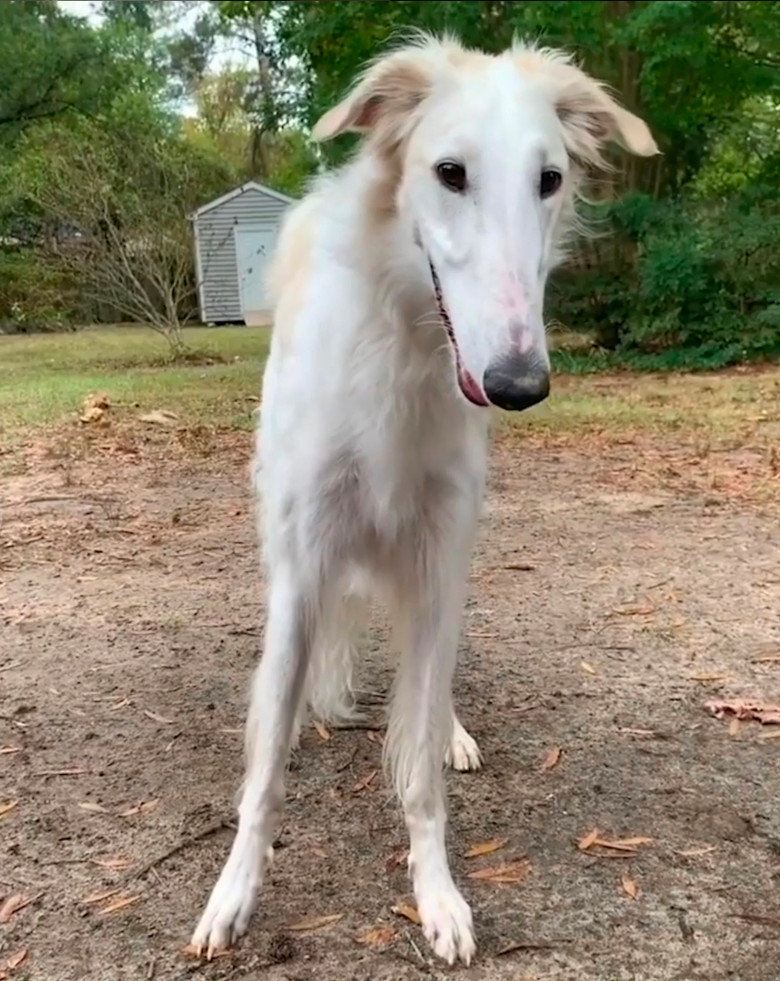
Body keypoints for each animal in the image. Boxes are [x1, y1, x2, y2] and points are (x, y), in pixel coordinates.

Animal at [192, 32, 656, 964]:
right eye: (449, 171)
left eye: (550, 178)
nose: (519, 383)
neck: (403, 347)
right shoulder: (302, 569)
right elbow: (264, 778)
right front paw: (234, 892)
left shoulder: (441, 563)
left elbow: (421, 776)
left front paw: (437, 894)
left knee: (428, 698)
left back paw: (450, 730)